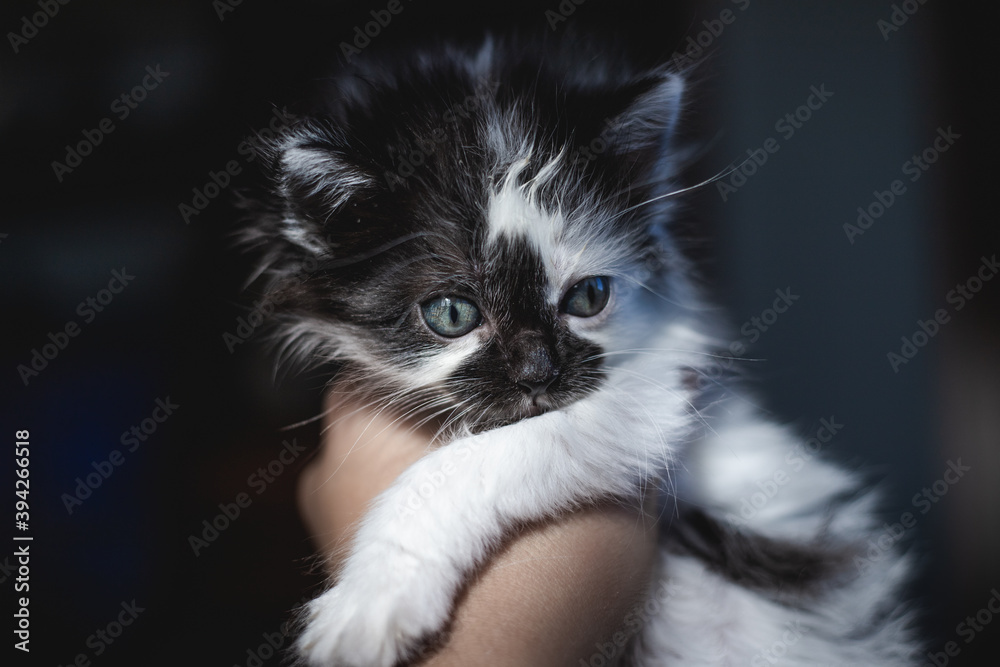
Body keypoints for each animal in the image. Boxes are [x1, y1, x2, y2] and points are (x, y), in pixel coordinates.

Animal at [240, 35, 916, 667]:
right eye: (452, 314)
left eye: (589, 297)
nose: (539, 372)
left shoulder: (656, 392)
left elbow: (468, 465)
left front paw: (374, 597)